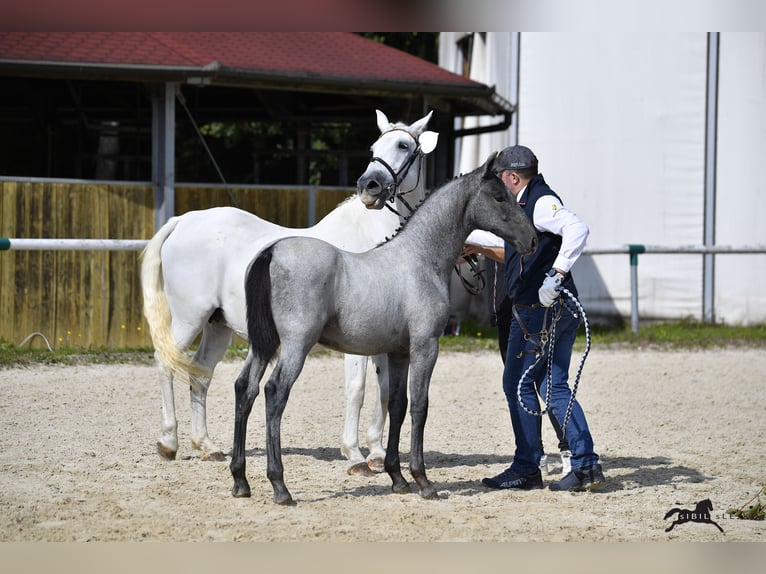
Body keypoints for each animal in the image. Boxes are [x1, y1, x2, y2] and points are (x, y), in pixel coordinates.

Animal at [140, 110, 438, 474]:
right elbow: (357, 389)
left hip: (217, 325)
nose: (370, 187)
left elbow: (383, 391)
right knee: (165, 362)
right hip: (189, 318)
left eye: (403, 145)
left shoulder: (384, 337)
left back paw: (207, 445)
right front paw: (355, 456)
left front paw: (378, 453)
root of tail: (184, 221)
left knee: (201, 372)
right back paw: (169, 442)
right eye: (373, 148)